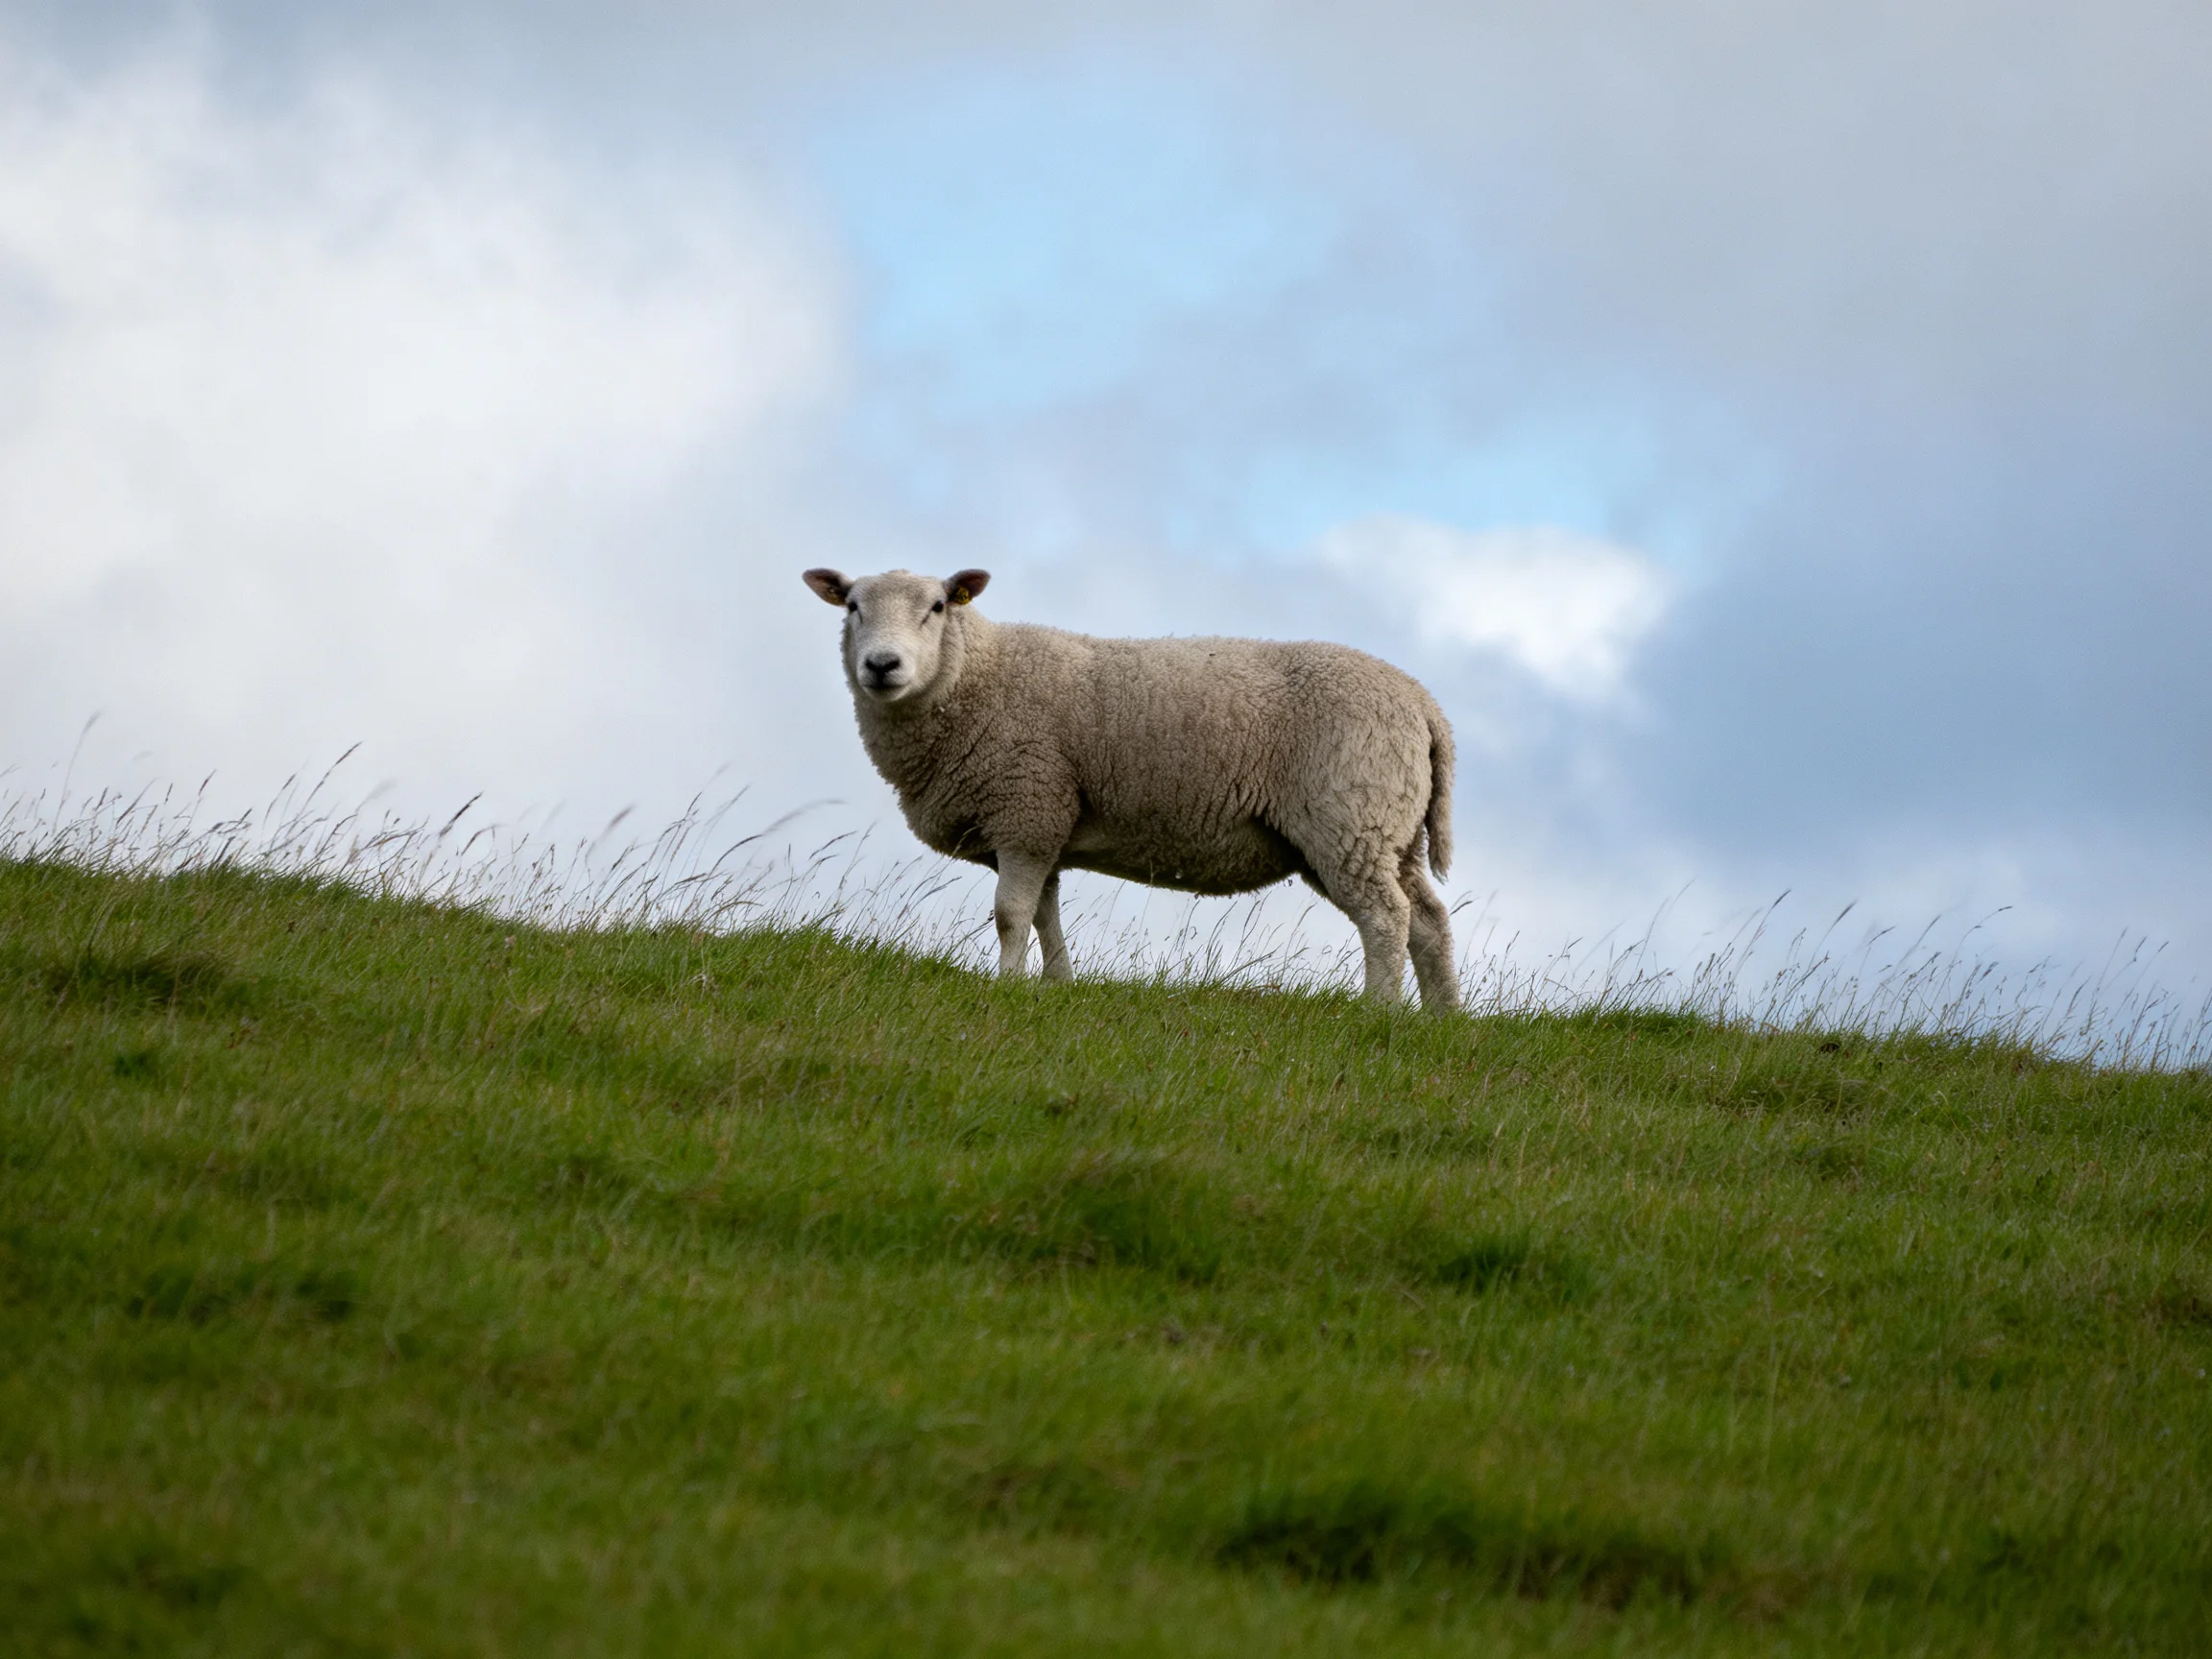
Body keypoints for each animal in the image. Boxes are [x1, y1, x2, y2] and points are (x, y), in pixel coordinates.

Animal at [802, 566, 1461, 1011]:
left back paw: (1377, 1011)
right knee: (1428, 919)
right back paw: (1439, 1019)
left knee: (1385, 917)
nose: (881, 665)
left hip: (1348, 817)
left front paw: (1007, 985)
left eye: (938, 606)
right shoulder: (1044, 825)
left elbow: (1010, 915)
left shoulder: (1026, 810)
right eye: (852, 605)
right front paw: (1058, 985)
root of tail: (1423, 704)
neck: (978, 676)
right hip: (1387, 830)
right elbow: (1044, 914)